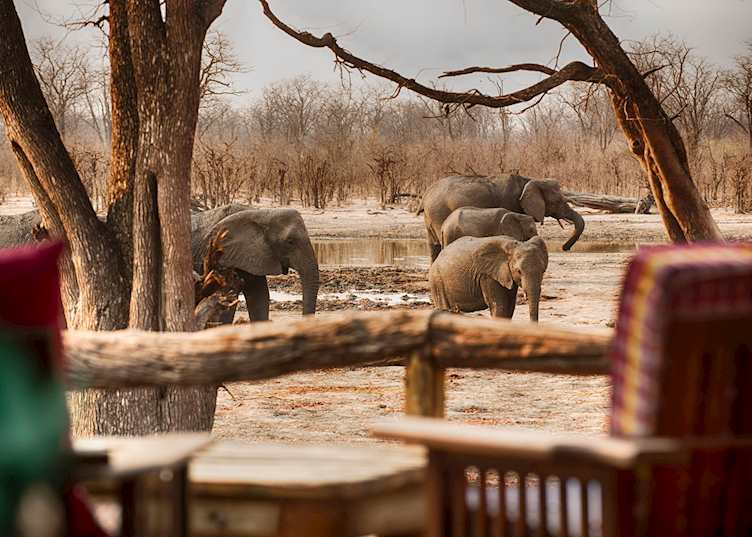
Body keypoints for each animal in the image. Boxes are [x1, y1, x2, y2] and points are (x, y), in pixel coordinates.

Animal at [417, 174, 584, 261]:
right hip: (439, 212)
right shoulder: (511, 203)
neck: (529, 180)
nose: (565, 248)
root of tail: (426, 194)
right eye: (558, 201)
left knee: (434, 245)